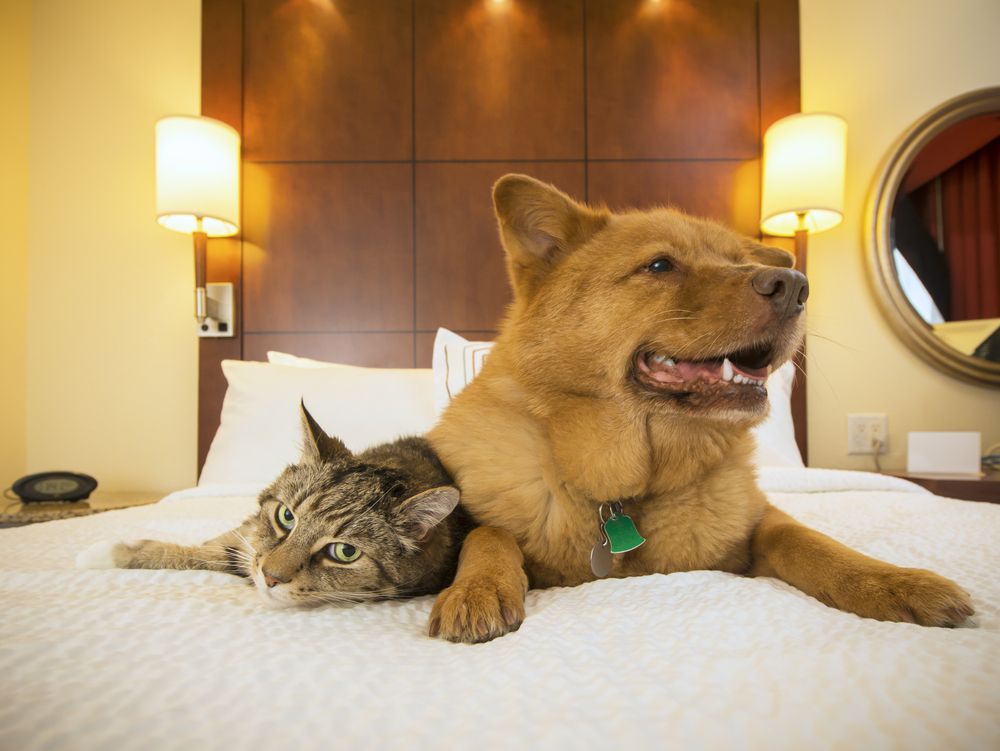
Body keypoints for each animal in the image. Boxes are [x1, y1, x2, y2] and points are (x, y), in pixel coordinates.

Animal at [426, 173, 972, 644]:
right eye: (660, 265)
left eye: (738, 259)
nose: (796, 284)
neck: (626, 496)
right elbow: (490, 534)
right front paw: (478, 587)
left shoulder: (760, 524)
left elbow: (811, 541)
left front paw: (892, 580)